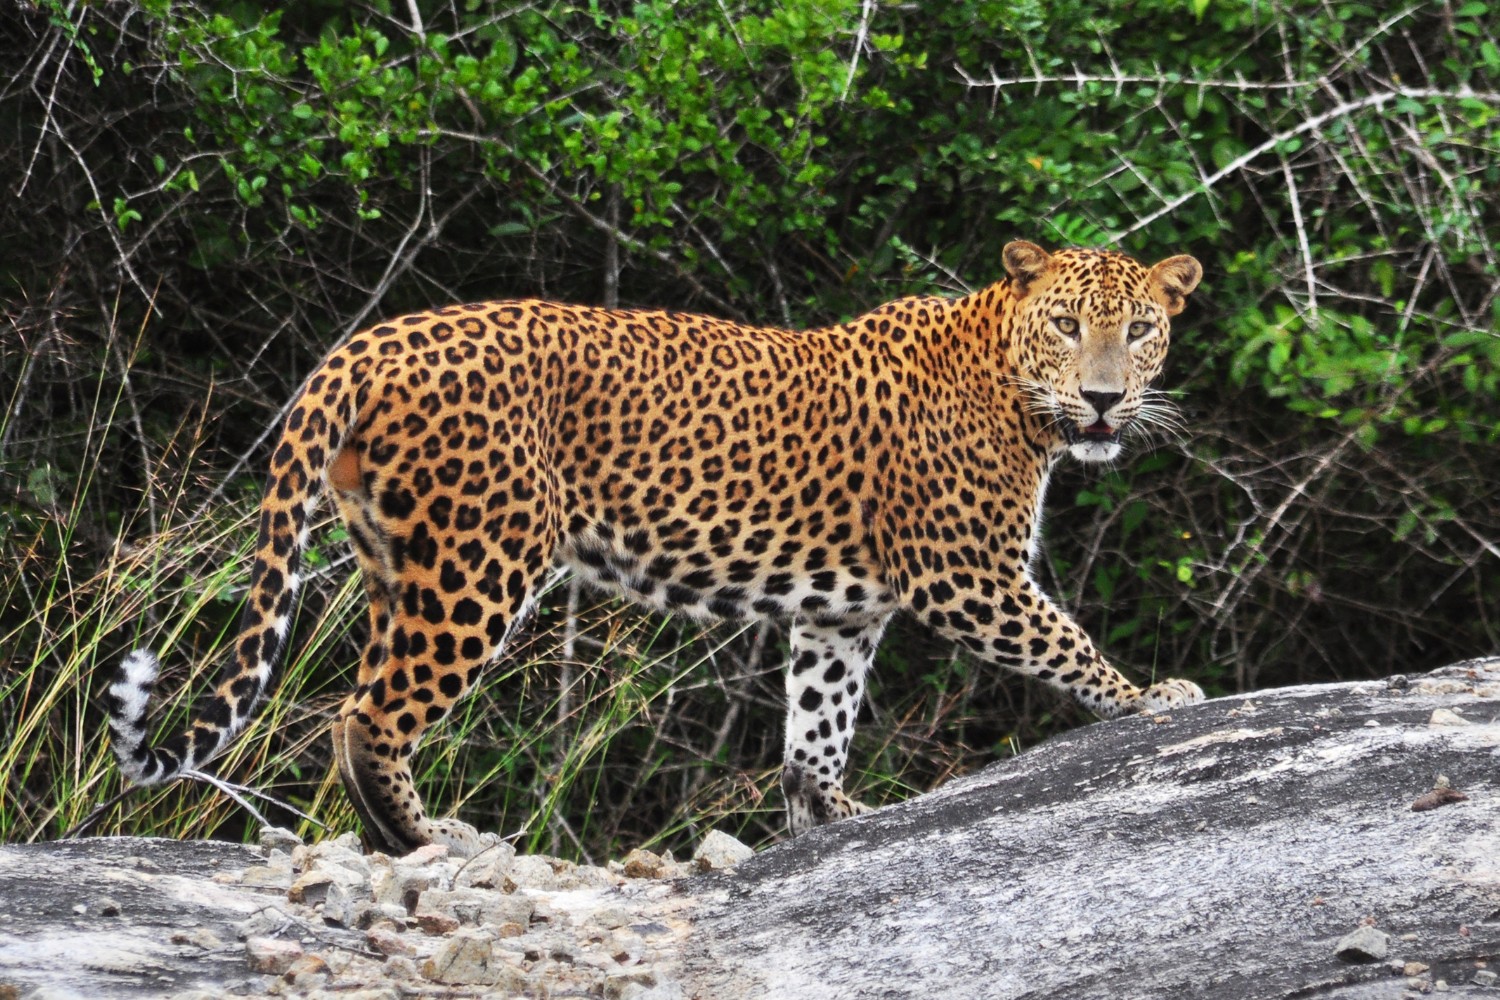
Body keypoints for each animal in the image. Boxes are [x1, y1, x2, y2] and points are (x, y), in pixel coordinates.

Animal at [107, 239, 1205, 855]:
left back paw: (400, 839)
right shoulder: (966, 573)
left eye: (1142, 329)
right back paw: (426, 840)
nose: (1104, 398)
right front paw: (1154, 697)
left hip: (397, 563)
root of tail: (369, 342)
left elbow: (817, 724)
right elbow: (1066, 641)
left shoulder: (842, 612)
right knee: (370, 714)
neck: (1020, 394)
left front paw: (828, 816)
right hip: (480, 559)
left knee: (362, 700)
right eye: (1067, 325)